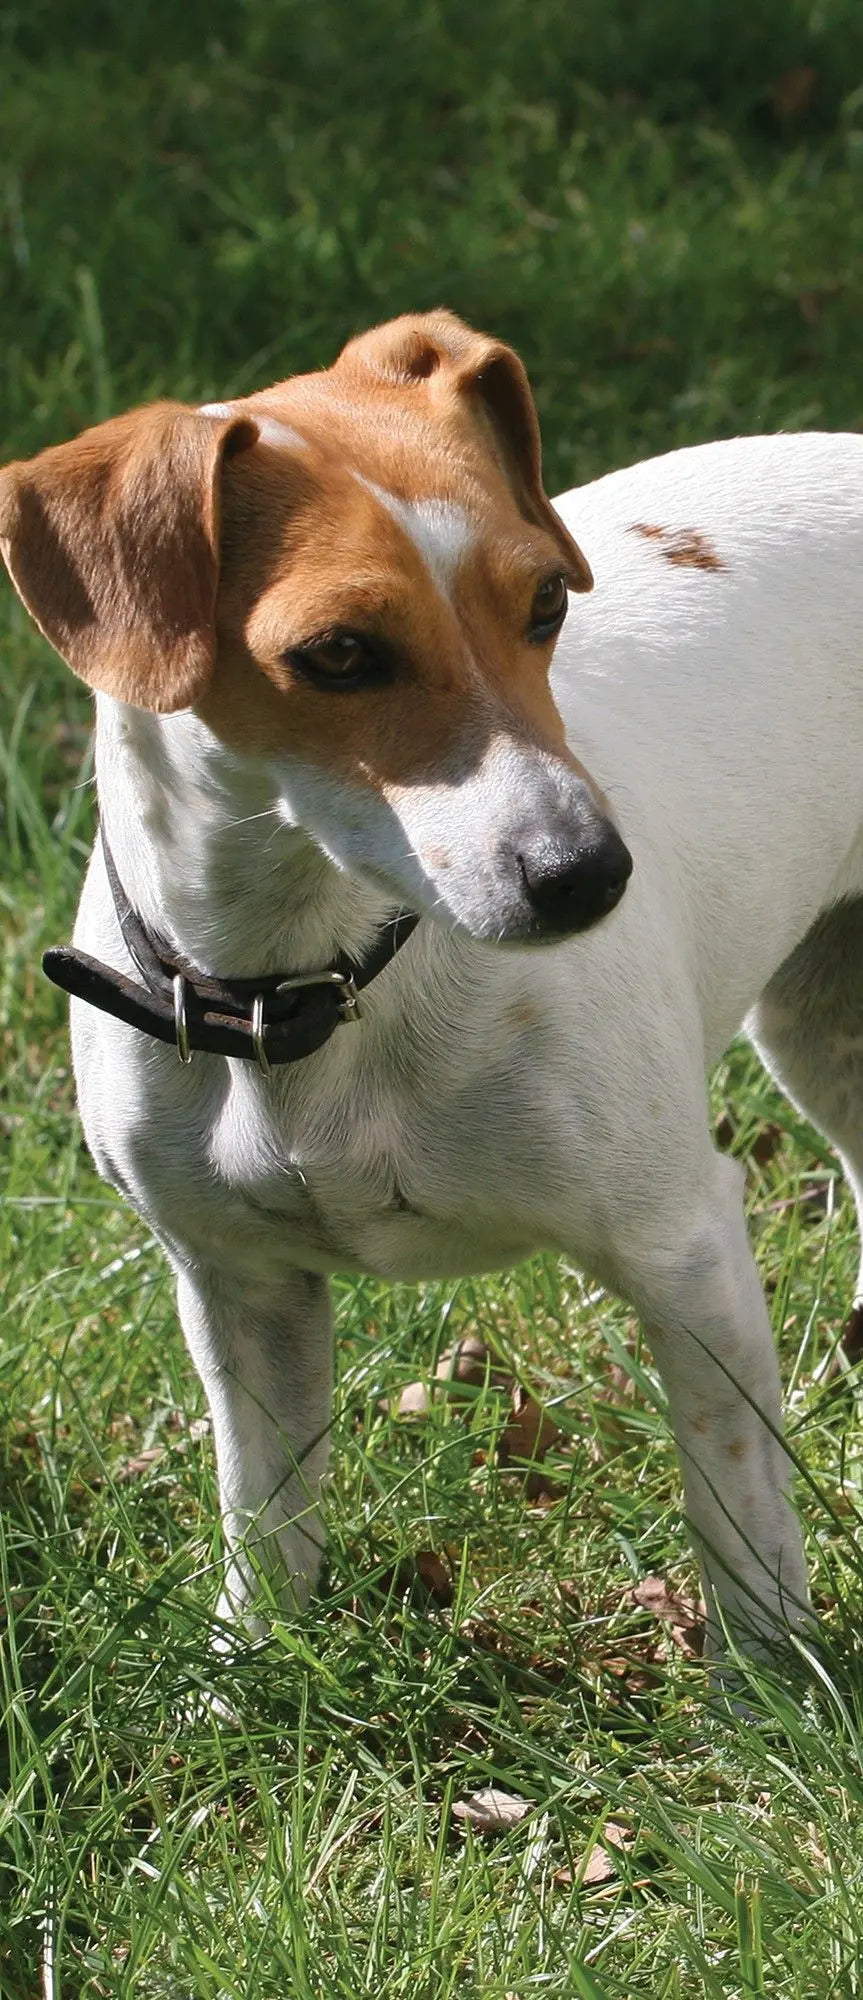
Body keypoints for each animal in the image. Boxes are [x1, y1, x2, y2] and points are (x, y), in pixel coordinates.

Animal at [3, 308, 859, 1656]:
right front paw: (245, 1680)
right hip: (825, 1024)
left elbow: (743, 1533)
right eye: (339, 652)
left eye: (547, 598)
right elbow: (266, 1532)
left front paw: (771, 1685)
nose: (588, 873)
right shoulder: (240, 1290)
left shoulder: (685, 1252)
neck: (315, 981)